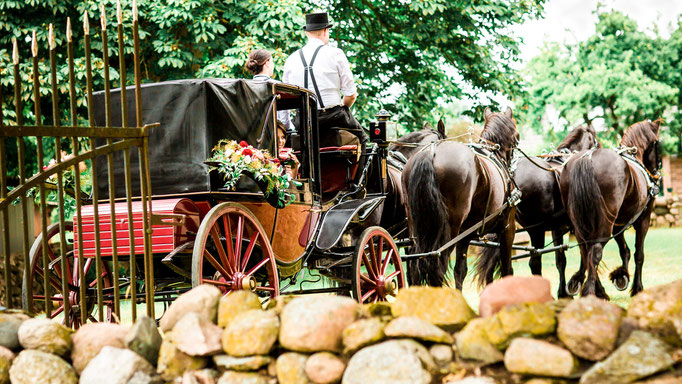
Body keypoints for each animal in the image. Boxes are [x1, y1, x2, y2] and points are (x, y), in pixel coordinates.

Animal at [402, 108, 516, 288]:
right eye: (516, 135)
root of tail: (430, 151)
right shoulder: (508, 226)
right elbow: (507, 269)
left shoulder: (466, 234)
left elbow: (460, 271)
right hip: (448, 232)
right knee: (437, 267)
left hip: (416, 228)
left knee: (415, 267)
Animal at [516, 126, 596, 296]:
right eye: (595, 141)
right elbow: (583, 253)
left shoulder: (557, 228)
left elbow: (561, 260)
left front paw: (564, 291)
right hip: (536, 230)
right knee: (535, 261)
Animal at [556, 118, 660, 298]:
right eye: (658, 144)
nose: (657, 174)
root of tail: (587, 158)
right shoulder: (643, 220)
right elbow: (638, 254)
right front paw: (637, 287)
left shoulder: (618, 224)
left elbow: (624, 250)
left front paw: (621, 275)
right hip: (604, 223)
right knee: (595, 251)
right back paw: (592, 291)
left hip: (581, 222)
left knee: (585, 250)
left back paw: (589, 285)